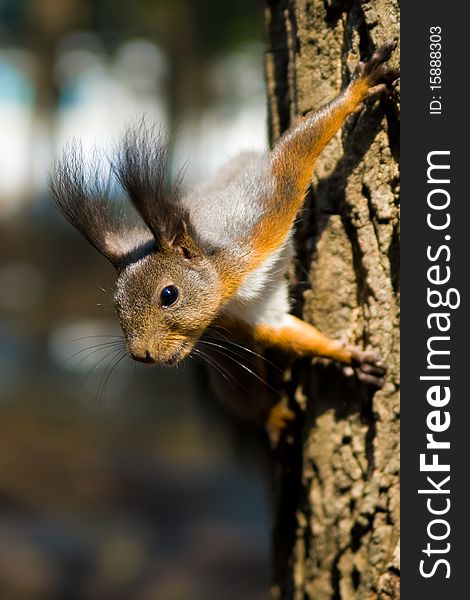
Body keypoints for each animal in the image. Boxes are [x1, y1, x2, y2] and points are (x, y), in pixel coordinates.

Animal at [50, 41, 396, 432]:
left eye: (169, 295)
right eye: (115, 304)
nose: (141, 355)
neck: (229, 283)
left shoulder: (260, 216)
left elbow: (295, 152)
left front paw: (358, 88)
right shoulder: (240, 319)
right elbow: (286, 332)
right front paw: (344, 356)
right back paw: (273, 416)